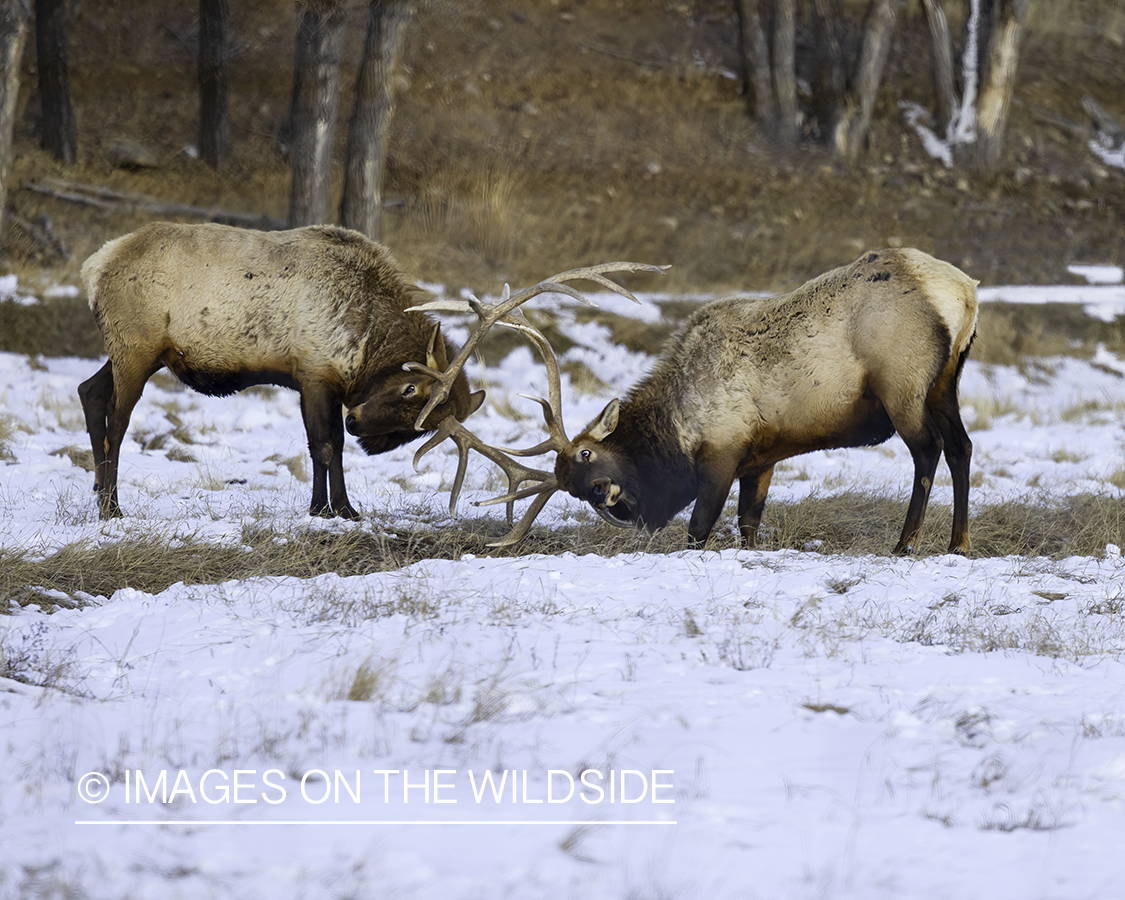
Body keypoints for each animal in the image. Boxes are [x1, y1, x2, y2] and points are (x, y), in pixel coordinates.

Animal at [411, 247, 976, 555]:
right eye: (571, 489)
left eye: (588, 455)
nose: (610, 498)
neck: (674, 422)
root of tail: (964, 291)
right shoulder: (762, 458)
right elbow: (748, 526)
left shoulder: (723, 452)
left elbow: (700, 529)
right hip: (946, 382)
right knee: (962, 447)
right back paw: (958, 543)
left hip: (904, 385)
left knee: (928, 450)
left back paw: (906, 543)